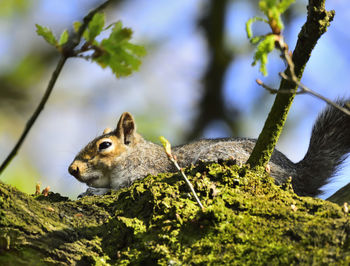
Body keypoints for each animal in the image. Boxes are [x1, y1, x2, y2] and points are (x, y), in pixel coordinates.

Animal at [67, 98, 350, 196]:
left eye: (105, 145)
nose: (72, 169)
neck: (137, 155)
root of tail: (296, 171)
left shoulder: (146, 173)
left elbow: (119, 190)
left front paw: (96, 192)